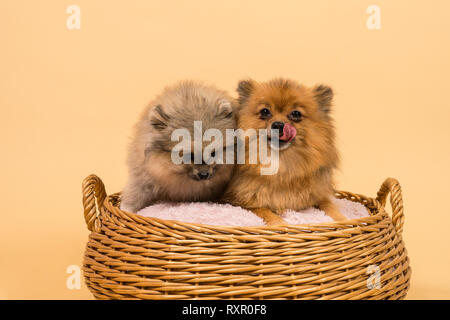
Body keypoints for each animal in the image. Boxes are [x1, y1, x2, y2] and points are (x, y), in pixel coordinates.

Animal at [119, 81, 239, 214]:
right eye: (189, 155)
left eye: (213, 153)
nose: (204, 174)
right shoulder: (144, 175)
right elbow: (137, 191)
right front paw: (126, 209)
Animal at [223, 78, 346, 225]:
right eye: (265, 111)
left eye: (296, 114)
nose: (278, 124)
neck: (282, 164)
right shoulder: (242, 203)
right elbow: (265, 211)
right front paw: (280, 223)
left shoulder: (318, 196)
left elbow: (329, 206)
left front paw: (342, 220)